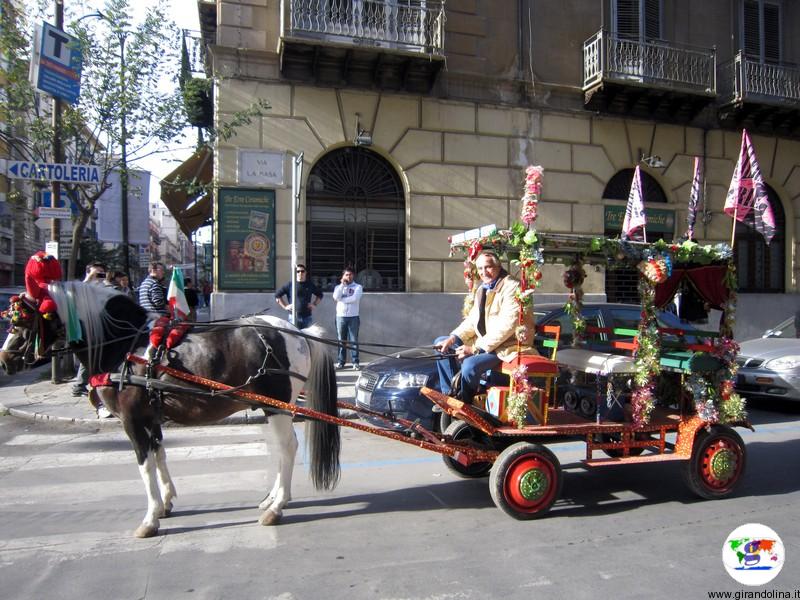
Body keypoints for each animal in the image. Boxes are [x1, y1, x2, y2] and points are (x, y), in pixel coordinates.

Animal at [0, 282, 340, 540]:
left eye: (20, 321)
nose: (5, 359)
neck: (126, 346)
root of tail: (296, 331)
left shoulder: (132, 421)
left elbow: (144, 464)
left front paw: (150, 518)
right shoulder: (151, 417)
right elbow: (159, 454)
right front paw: (165, 503)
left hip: (277, 407)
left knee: (288, 447)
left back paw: (276, 507)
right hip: (271, 407)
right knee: (279, 449)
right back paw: (272, 498)